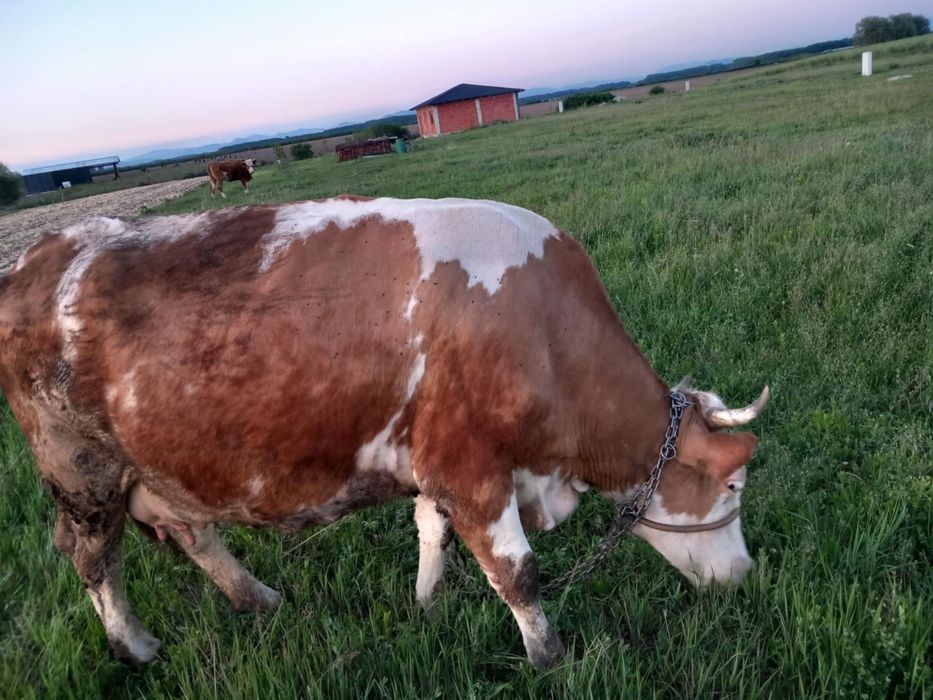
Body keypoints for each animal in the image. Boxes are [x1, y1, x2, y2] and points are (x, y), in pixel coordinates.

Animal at [0, 196, 769, 668]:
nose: (744, 576)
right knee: (93, 556)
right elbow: (517, 574)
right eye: (733, 484)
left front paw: (428, 605)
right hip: (80, 467)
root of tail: (36, 255)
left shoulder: (437, 458)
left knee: (192, 532)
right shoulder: (472, 468)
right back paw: (135, 646)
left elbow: (431, 531)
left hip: (159, 463)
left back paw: (260, 599)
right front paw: (550, 658)